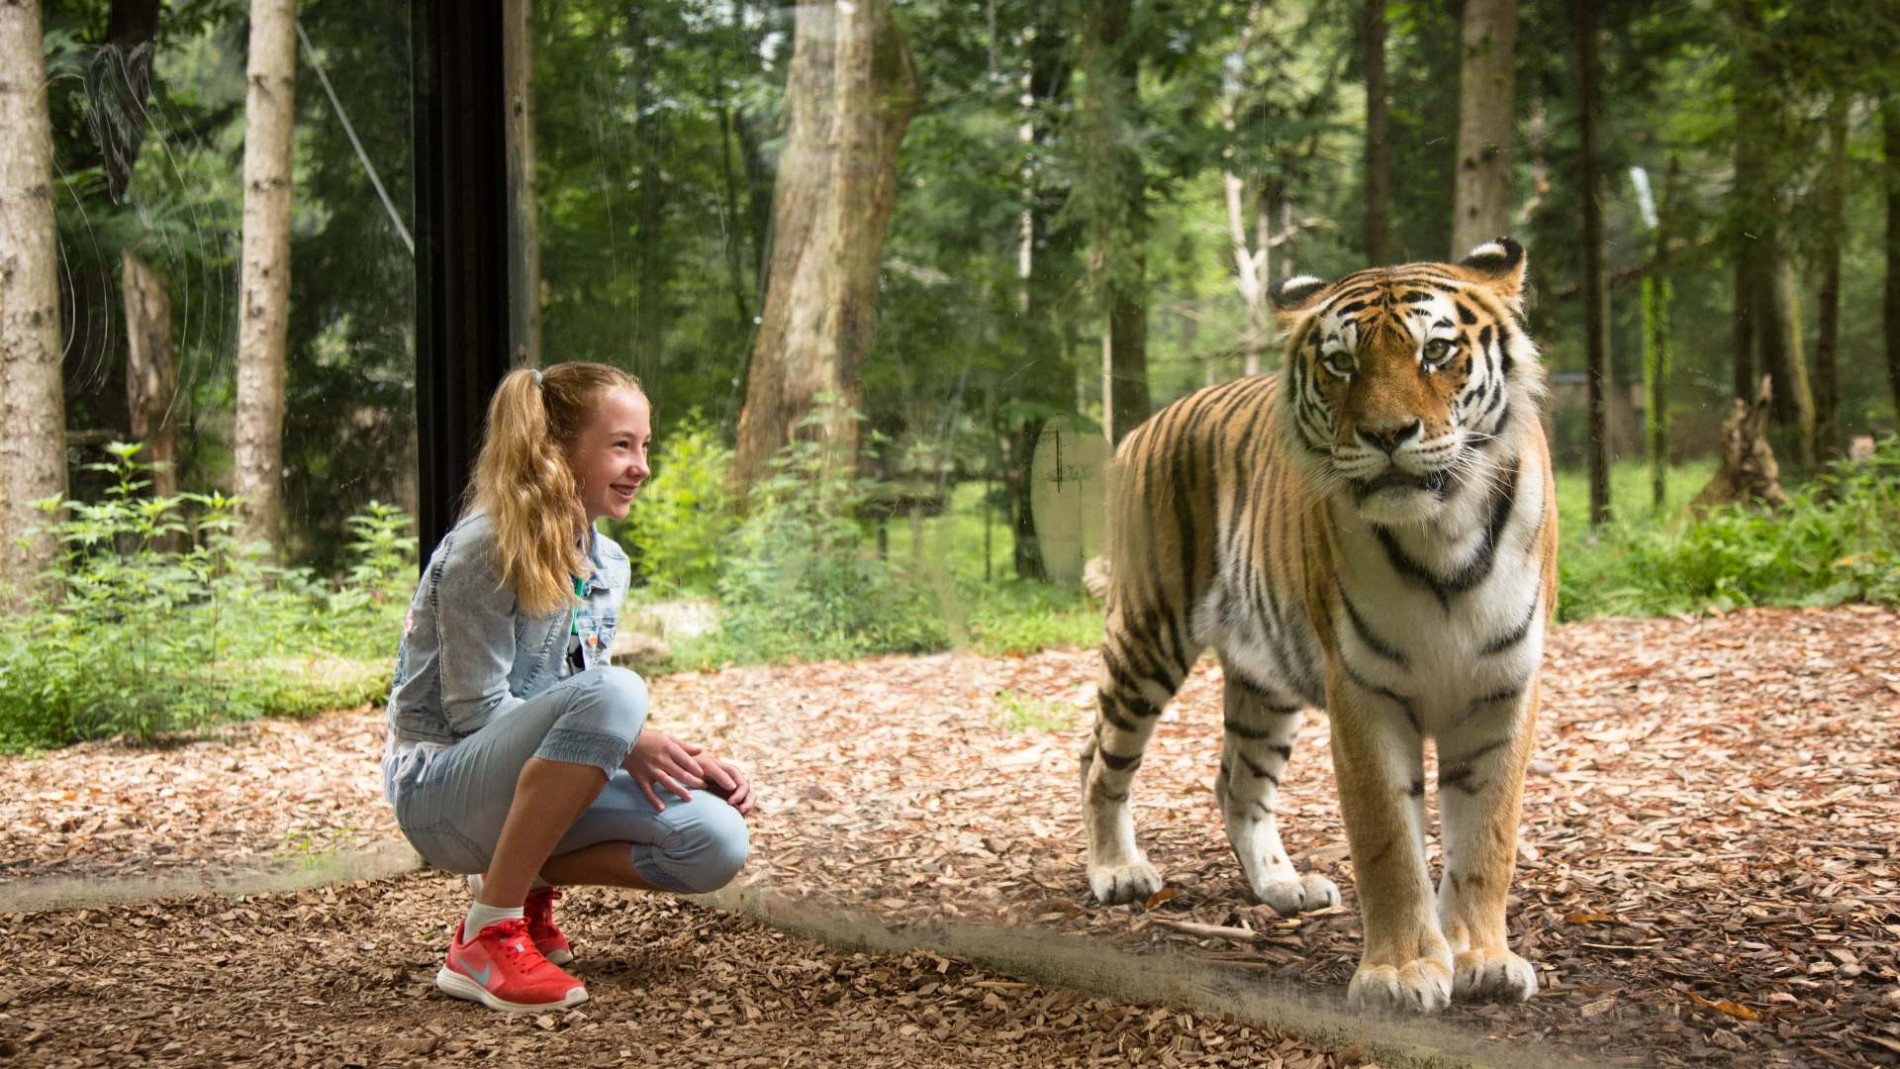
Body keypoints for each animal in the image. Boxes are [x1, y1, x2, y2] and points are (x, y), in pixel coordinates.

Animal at [1086, 238, 1558, 1017]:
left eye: (1436, 350)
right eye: (1341, 363)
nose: (1388, 435)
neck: (1444, 534)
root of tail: (1140, 428)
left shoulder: (1502, 689)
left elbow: (1488, 839)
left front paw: (1482, 958)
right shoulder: (1364, 691)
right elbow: (1389, 843)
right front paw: (1401, 972)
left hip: (1264, 680)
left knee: (1236, 784)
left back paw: (1282, 886)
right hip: (1147, 634)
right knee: (1101, 760)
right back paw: (1116, 869)